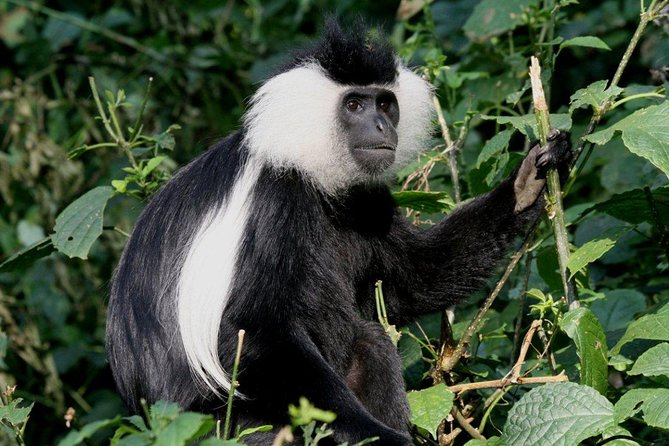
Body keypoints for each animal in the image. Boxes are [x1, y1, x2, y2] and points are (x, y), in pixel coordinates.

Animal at [106, 19, 571, 446]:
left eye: (385, 103)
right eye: (354, 105)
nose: (383, 127)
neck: (314, 178)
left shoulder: (367, 200)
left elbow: (413, 280)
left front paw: (526, 183)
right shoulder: (272, 202)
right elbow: (250, 334)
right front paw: (376, 435)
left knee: (371, 344)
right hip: (228, 426)